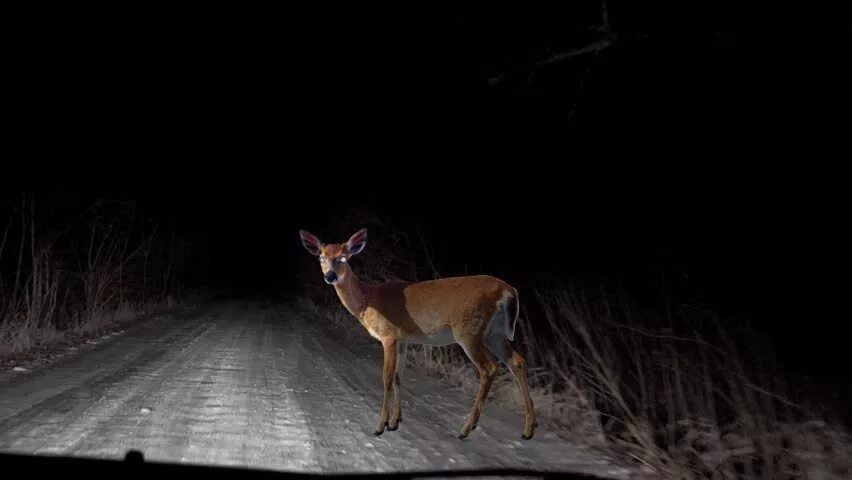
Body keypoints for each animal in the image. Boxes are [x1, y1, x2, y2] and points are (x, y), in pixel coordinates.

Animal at [300, 228, 536, 438]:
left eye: (343, 258)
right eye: (321, 257)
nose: (330, 276)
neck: (368, 300)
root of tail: (508, 290)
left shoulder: (388, 335)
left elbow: (386, 377)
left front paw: (380, 425)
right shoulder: (403, 339)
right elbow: (398, 376)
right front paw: (395, 421)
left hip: (469, 330)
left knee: (489, 368)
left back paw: (466, 428)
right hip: (494, 332)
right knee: (517, 361)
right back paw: (528, 429)